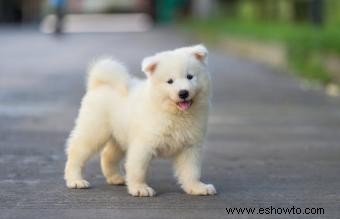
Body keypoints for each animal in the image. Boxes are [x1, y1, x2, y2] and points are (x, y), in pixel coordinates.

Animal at [65, 44, 216, 197]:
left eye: (190, 76)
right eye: (170, 81)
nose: (183, 93)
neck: (175, 114)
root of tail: (99, 84)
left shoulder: (190, 146)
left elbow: (192, 171)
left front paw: (197, 187)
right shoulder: (143, 144)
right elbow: (138, 169)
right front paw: (140, 188)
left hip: (119, 136)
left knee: (107, 155)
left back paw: (116, 178)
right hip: (94, 131)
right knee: (76, 153)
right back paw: (75, 180)